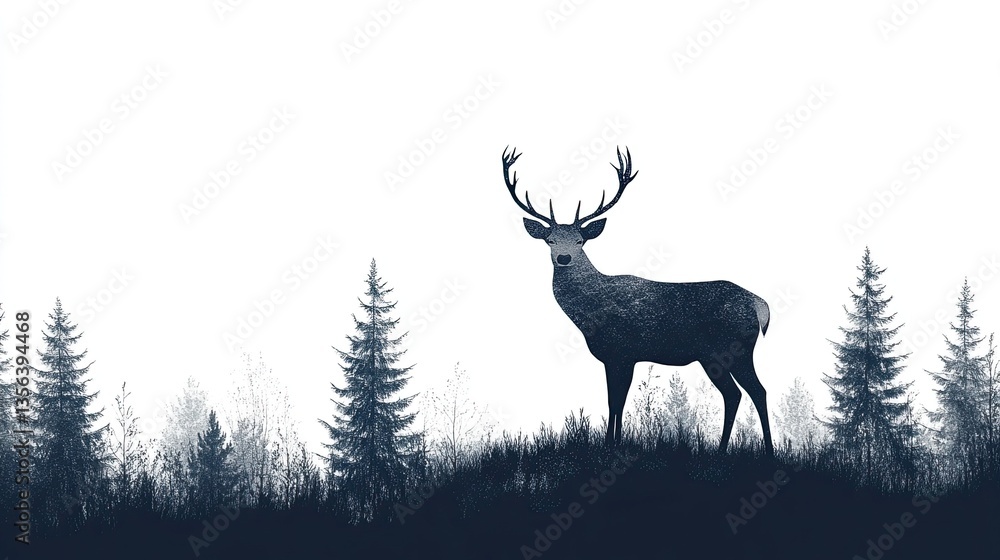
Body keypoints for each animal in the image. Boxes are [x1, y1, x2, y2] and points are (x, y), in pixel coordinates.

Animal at [501, 146, 774, 455]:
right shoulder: (617, 357)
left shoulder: (622, 351)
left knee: (756, 390)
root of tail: (759, 305)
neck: (590, 314)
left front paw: (612, 445)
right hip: (714, 355)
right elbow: (616, 400)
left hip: (734, 348)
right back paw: (723, 450)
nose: (564, 257)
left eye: (581, 240)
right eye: (549, 240)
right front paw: (614, 442)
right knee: (735, 394)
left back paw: (767, 451)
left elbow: (616, 400)